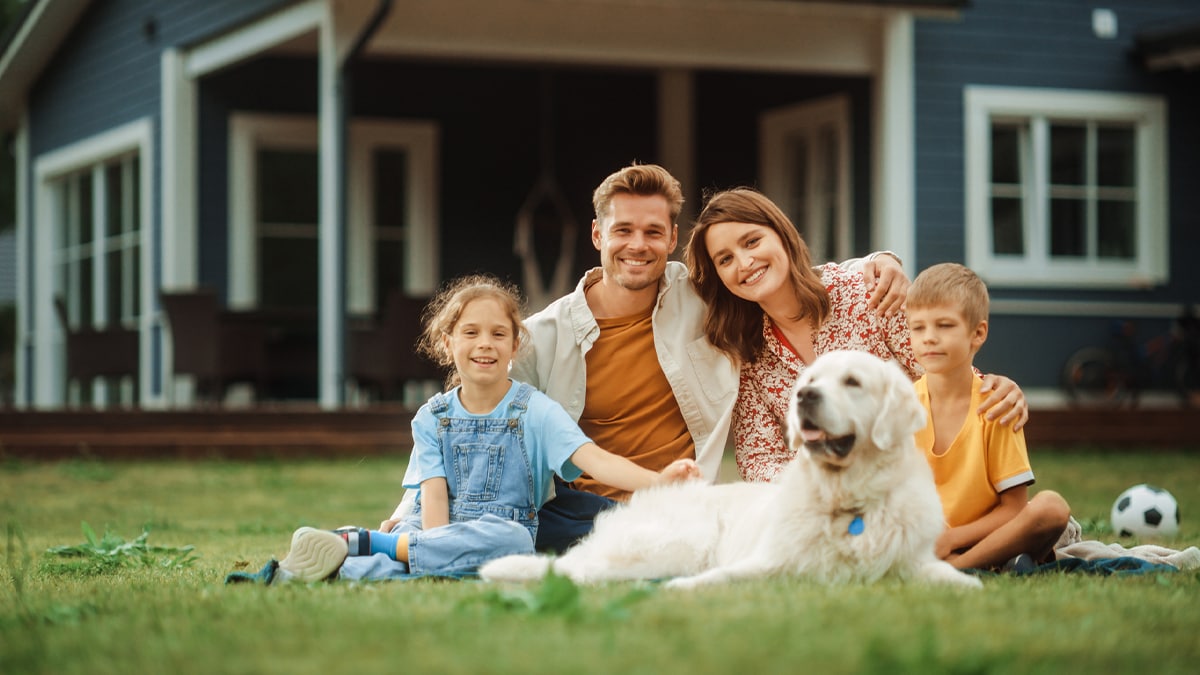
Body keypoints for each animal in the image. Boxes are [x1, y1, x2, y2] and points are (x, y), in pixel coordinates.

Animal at [482, 348, 979, 586]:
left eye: (853, 382)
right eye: (811, 380)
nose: (805, 396)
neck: (846, 501)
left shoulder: (913, 563)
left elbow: (962, 584)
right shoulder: (766, 560)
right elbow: (719, 579)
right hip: (675, 543)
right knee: (578, 571)